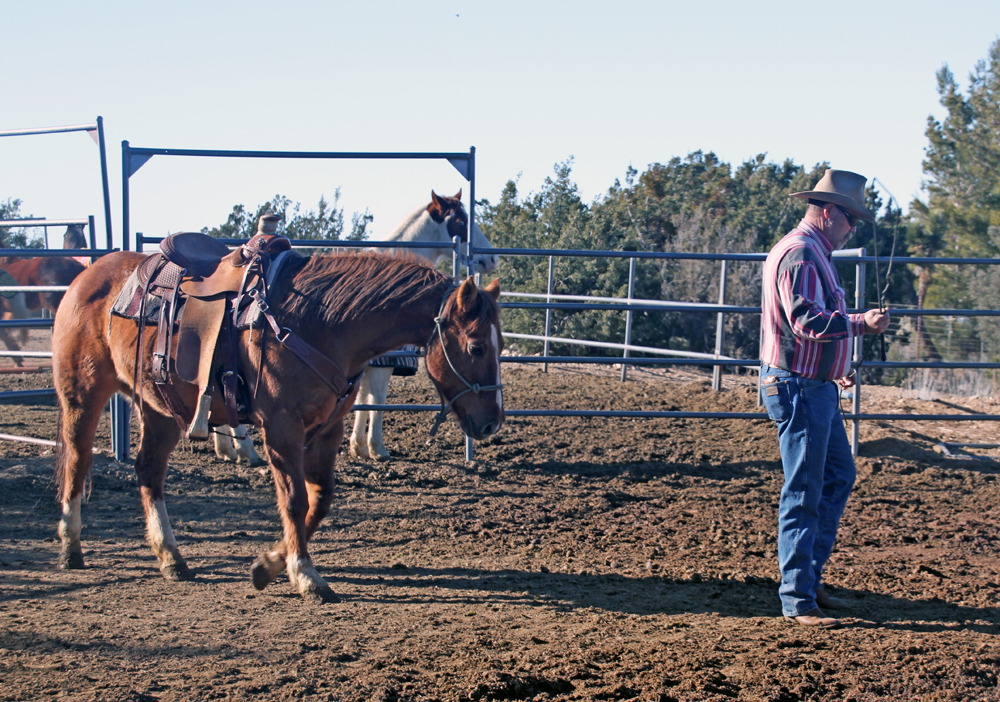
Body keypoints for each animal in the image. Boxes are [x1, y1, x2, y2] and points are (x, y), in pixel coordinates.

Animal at [53, 247, 504, 603]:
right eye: (477, 346)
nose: (492, 423)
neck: (320, 323)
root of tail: (88, 276)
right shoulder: (281, 430)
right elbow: (295, 500)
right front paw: (305, 575)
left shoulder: (327, 430)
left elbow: (320, 500)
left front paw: (270, 563)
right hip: (83, 395)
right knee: (77, 461)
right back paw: (71, 546)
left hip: (160, 408)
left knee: (149, 471)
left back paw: (171, 558)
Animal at [349, 190, 499, 462]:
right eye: (461, 221)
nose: (492, 258)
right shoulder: (384, 360)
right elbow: (377, 399)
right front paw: (377, 448)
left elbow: (364, 398)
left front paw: (360, 448)